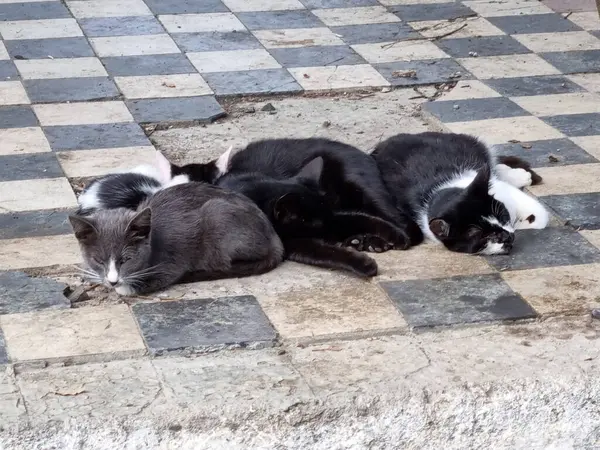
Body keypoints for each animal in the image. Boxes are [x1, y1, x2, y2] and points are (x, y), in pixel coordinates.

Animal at [69, 183, 284, 296]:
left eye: (126, 260)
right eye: (98, 260)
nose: (113, 281)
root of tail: (275, 236)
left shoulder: (171, 262)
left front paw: (124, 287)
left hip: (217, 214)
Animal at [372, 132, 552, 255]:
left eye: (501, 215)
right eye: (481, 236)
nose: (505, 236)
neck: (442, 192)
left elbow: (538, 217)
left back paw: (521, 175)